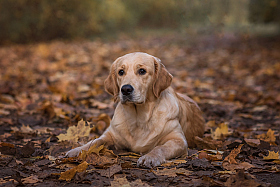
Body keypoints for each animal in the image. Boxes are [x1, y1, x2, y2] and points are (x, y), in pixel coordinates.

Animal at [66, 51, 205, 167]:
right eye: (121, 72)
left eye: (142, 71)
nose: (126, 89)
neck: (139, 118)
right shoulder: (110, 135)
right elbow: (94, 141)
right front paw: (77, 150)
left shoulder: (178, 140)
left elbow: (160, 148)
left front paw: (150, 157)